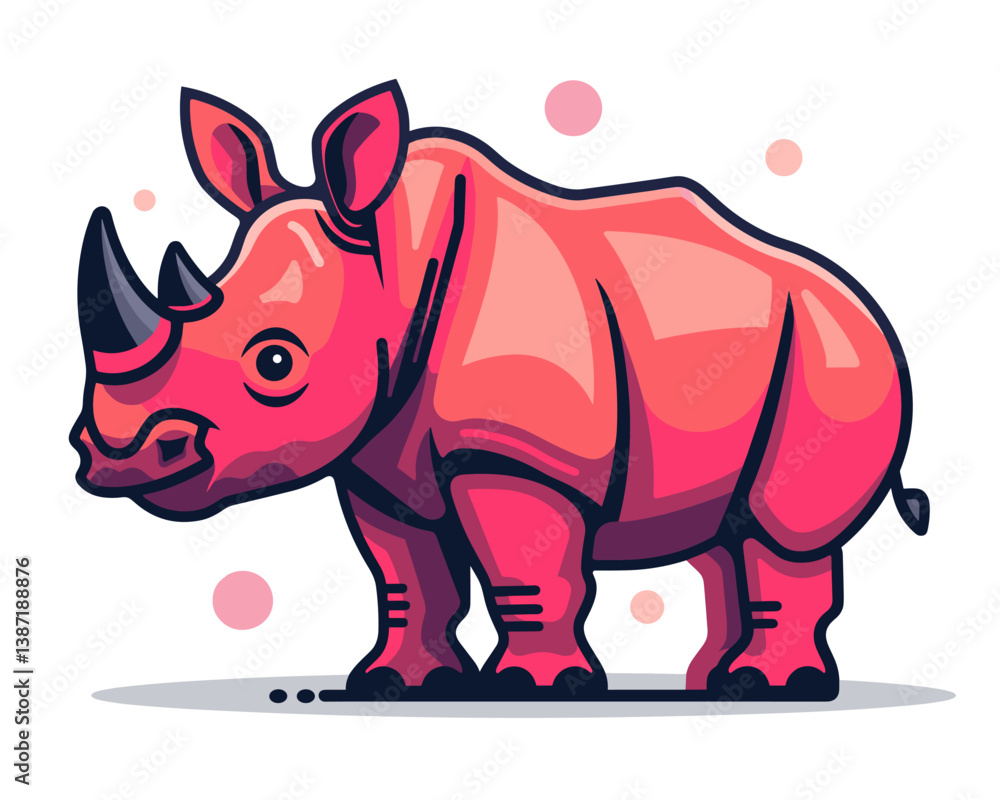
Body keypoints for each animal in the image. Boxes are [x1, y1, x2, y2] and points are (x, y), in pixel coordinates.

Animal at [71, 80, 928, 701]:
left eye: (275, 363)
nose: (115, 455)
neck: (391, 263)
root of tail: (858, 300)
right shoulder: (376, 460)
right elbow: (408, 576)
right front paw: (396, 685)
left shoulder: (518, 455)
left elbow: (527, 571)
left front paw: (537, 687)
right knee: (720, 535)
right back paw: (711, 684)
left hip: (837, 354)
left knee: (785, 528)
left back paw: (770, 685)